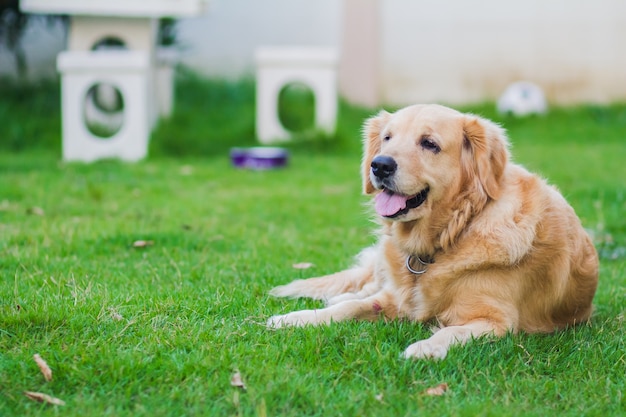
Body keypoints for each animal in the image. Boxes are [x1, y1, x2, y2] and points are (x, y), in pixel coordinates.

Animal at [266, 103, 596, 358]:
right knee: (365, 286)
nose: (379, 165)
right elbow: (350, 308)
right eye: (387, 138)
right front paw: (297, 318)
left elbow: (452, 332)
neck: (451, 233)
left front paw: (425, 347)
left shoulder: (496, 321)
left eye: (429, 143)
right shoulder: (395, 298)